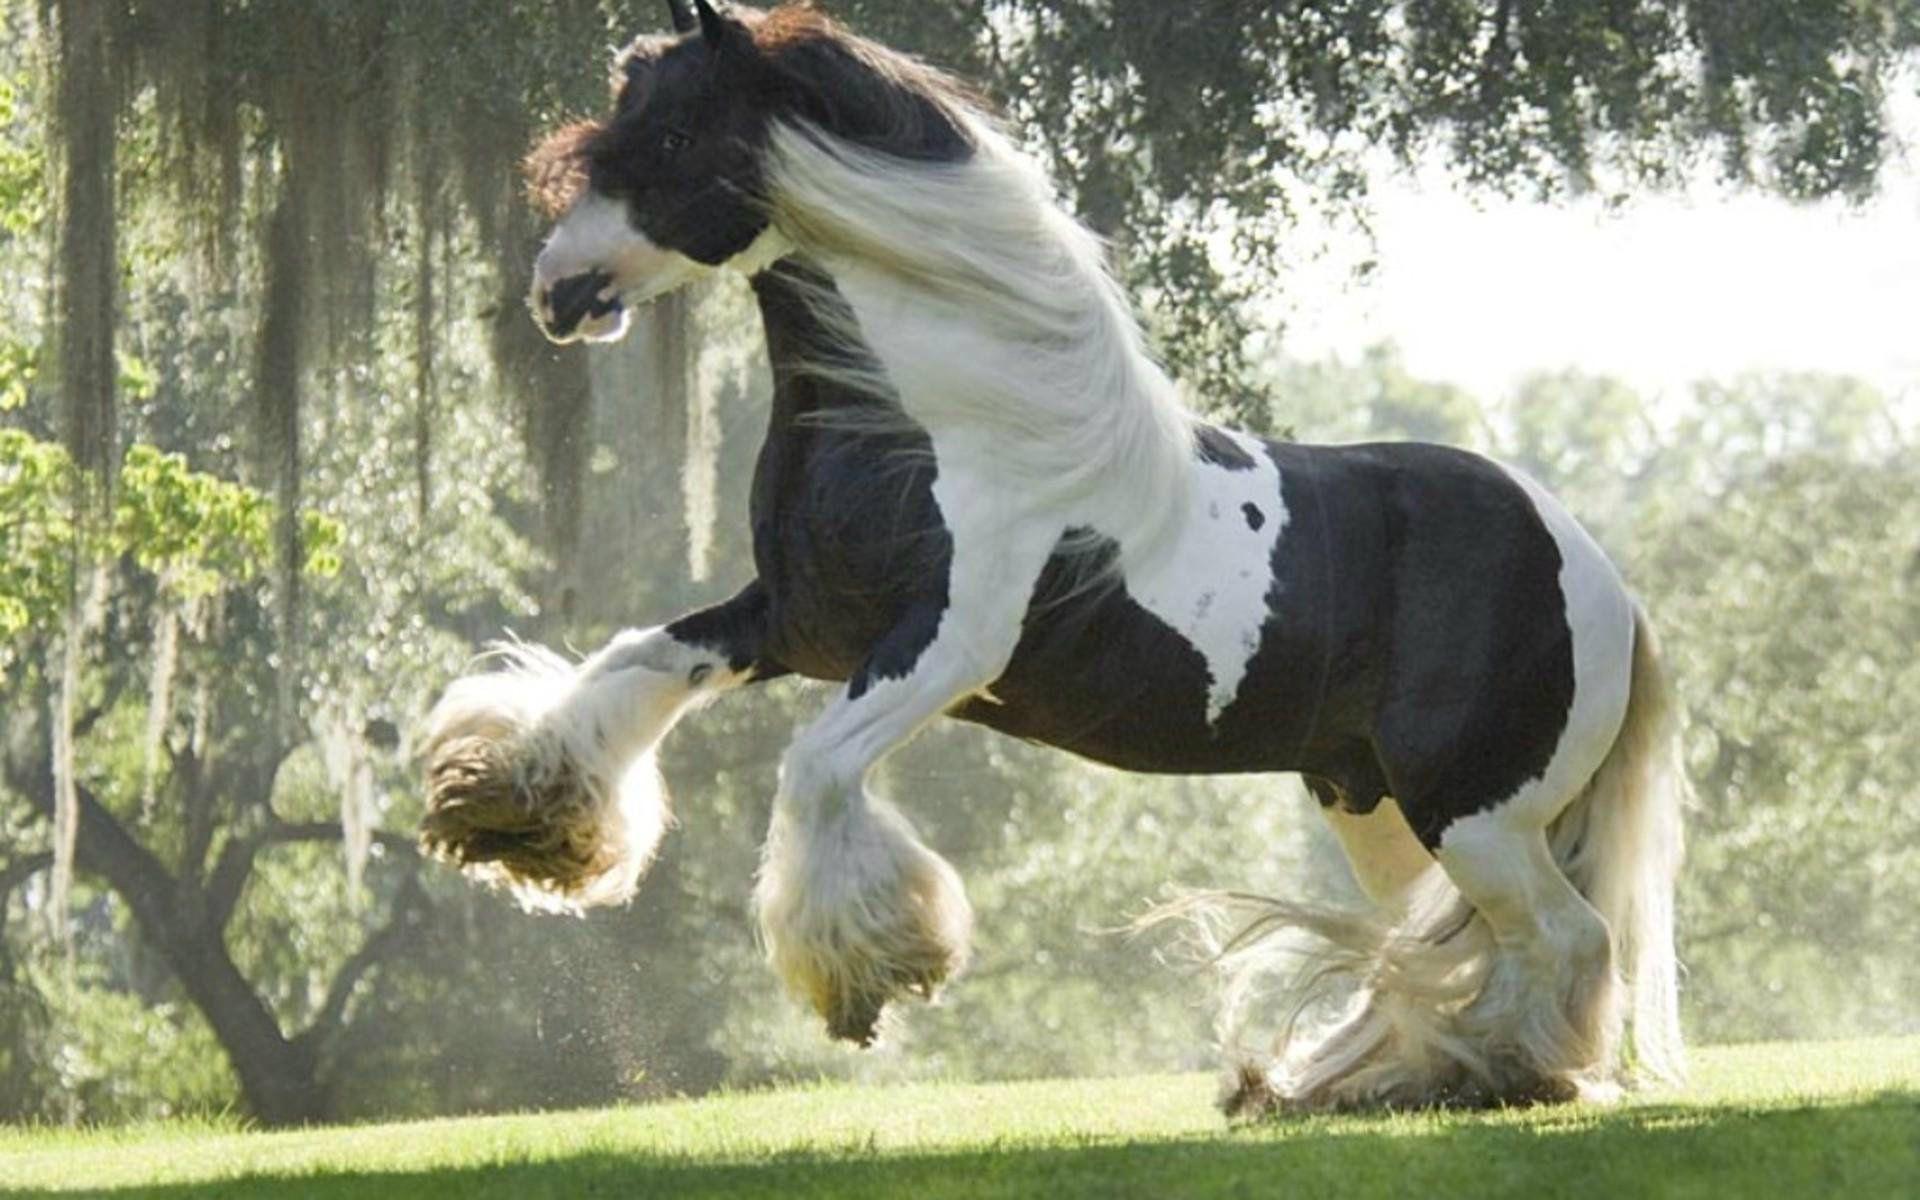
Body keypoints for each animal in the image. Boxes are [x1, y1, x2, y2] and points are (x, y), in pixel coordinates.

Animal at [420, 0, 1687, 1113]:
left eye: (676, 136)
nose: (555, 293)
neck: (948, 416)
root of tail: (1608, 585)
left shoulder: (946, 646)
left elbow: (814, 766)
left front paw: (875, 976)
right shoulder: (791, 618)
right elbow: (632, 664)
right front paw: (512, 814)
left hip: (1475, 814)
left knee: (1570, 938)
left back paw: (1504, 1074)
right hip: (1381, 809)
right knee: (1471, 942)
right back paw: (1400, 1078)